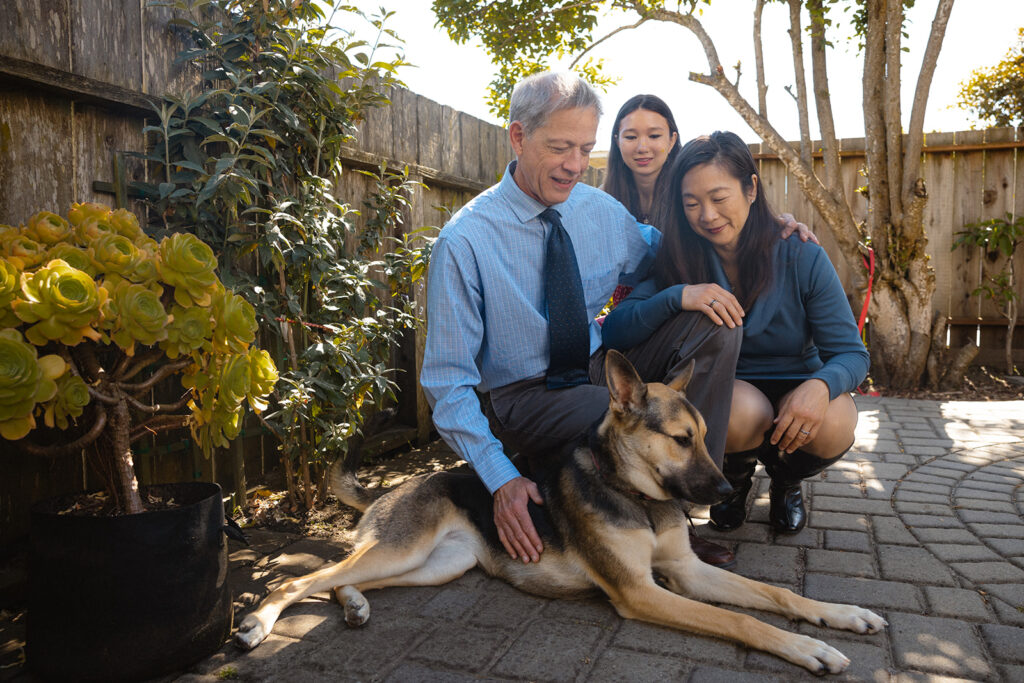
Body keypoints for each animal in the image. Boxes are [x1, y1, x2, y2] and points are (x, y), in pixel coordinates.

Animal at [235, 352, 884, 671]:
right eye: (681, 440)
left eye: (703, 436)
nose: (728, 488)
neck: (634, 495)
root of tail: (400, 485)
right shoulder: (641, 591)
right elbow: (745, 622)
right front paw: (808, 649)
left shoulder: (685, 570)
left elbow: (777, 596)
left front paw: (841, 614)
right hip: (406, 546)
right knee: (300, 579)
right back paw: (259, 623)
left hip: (433, 566)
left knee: (339, 580)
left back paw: (356, 606)